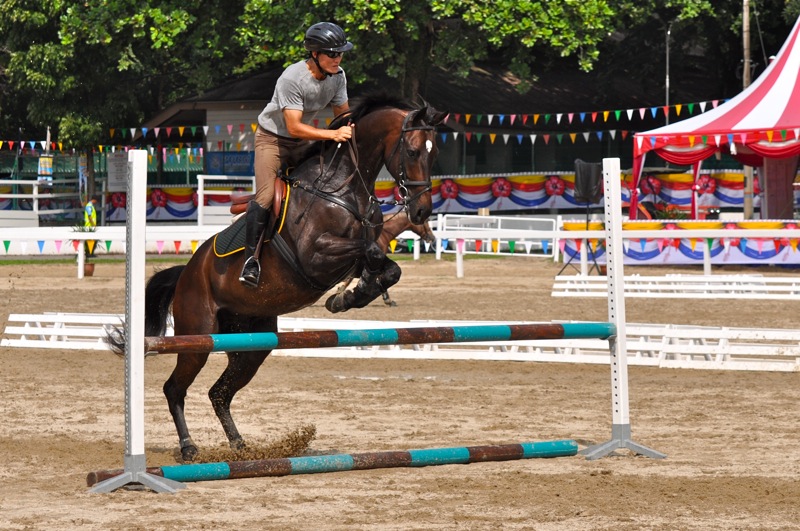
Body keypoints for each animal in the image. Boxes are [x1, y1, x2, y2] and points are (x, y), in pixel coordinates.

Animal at [130, 94, 447, 461]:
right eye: (412, 151)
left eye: (434, 153)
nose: (422, 211)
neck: (341, 188)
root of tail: (186, 273)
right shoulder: (314, 257)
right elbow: (373, 252)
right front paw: (347, 296)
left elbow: (386, 266)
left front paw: (350, 296)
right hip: (197, 337)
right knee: (175, 388)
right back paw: (189, 447)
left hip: (251, 344)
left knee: (219, 392)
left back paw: (240, 447)